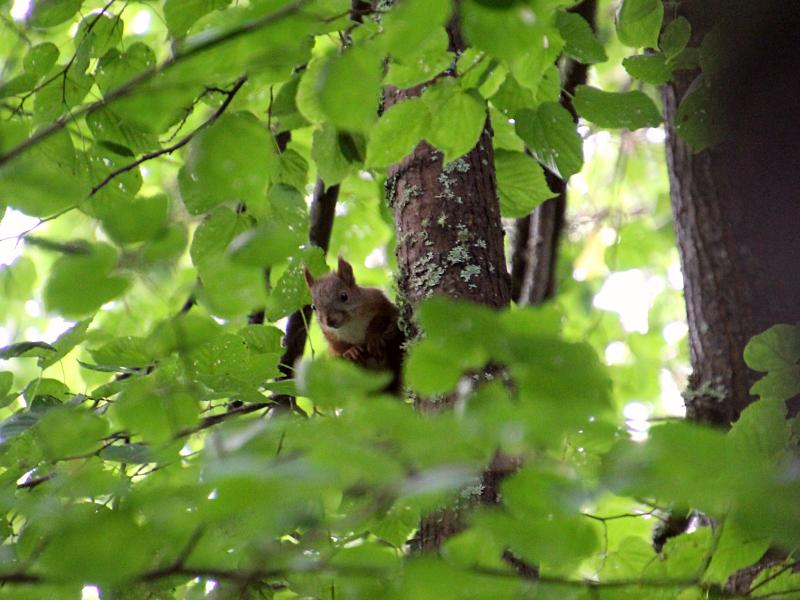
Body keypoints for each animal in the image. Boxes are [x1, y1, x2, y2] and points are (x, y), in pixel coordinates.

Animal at [306, 256, 406, 394]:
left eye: (344, 296)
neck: (349, 323)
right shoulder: (328, 332)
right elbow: (337, 345)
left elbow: (380, 319)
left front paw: (374, 338)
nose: (329, 321)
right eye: (313, 307)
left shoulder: (378, 302)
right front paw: (350, 351)